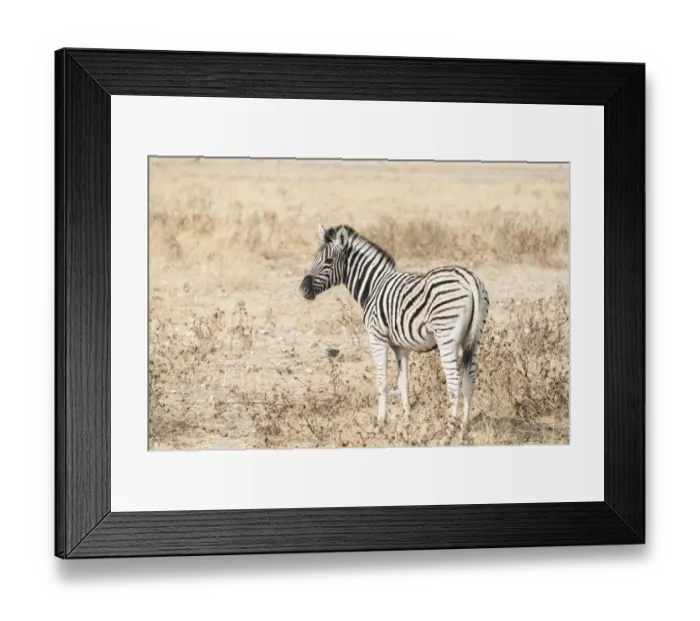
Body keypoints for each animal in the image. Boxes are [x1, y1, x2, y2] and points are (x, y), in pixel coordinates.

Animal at [299, 224, 490, 431]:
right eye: (314, 259)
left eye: (329, 260)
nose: (303, 290)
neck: (373, 286)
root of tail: (470, 279)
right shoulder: (401, 347)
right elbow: (403, 382)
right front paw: (407, 419)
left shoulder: (377, 338)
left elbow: (382, 382)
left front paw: (380, 422)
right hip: (474, 338)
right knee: (469, 379)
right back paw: (464, 426)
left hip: (446, 336)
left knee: (454, 380)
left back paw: (449, 427)